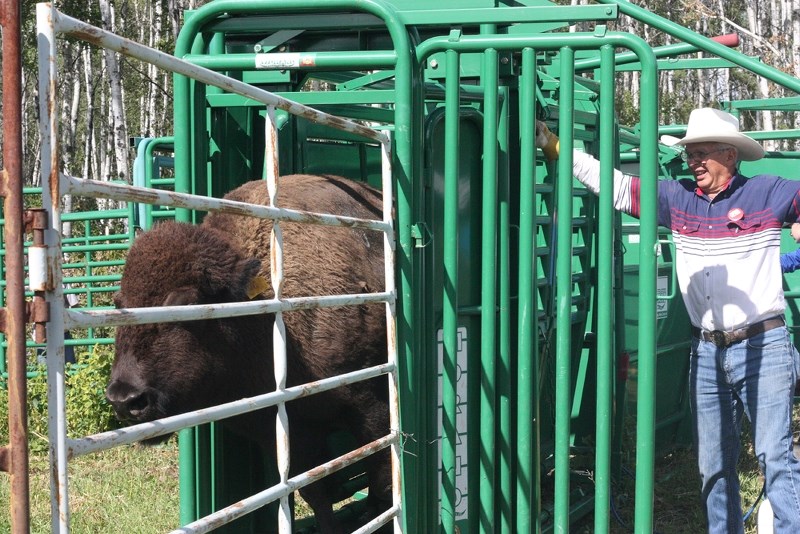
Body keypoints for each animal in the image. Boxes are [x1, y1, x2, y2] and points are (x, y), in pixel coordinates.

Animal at [106, 175, 394, 532]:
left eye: (188, 303)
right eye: (118, 304)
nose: (125, 398)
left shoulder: (373, 408)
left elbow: (382, 484)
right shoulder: (285, 431)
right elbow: (316, 494)